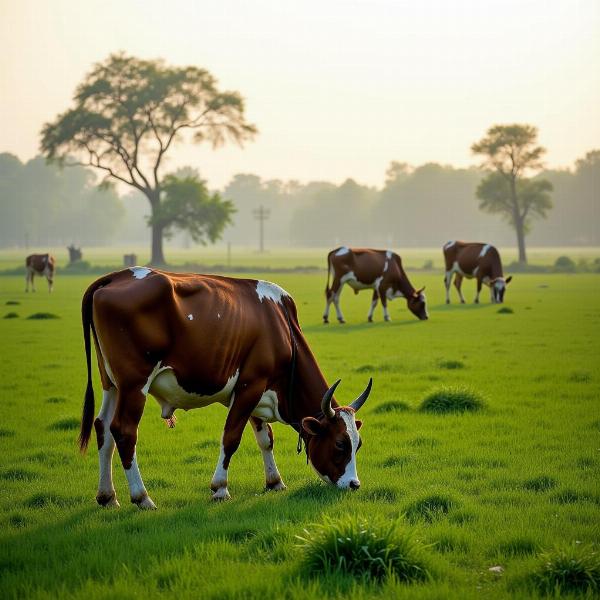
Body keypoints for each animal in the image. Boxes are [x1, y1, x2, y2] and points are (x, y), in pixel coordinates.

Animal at [78, 270, 370, 508]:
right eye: (340, 443)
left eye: (358, 444)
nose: (354, 484)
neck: (282, 328)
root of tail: (116, 276)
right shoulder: (250, 386)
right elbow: (231, 438)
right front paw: (220, 488)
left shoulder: (257, 392)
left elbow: (265, 438)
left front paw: (274, 481)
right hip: (134, 384)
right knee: (124, 431)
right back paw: (142, 497)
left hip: (112, 384)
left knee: (103, 428)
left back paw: (107, 496)